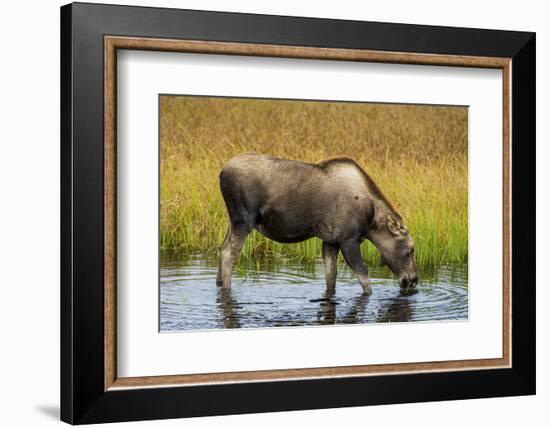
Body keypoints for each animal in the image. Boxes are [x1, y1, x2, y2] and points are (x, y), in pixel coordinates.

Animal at [218, 152, 420, 296]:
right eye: (410, 250)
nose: (413, 280)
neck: (371, 222)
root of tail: (221, 174)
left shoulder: (330, 241)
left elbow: (331, 277)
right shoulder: (348, 240)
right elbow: (364, 277)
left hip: (231, 221)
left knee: (222, 248)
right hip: (243, 220)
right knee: (229, 253)